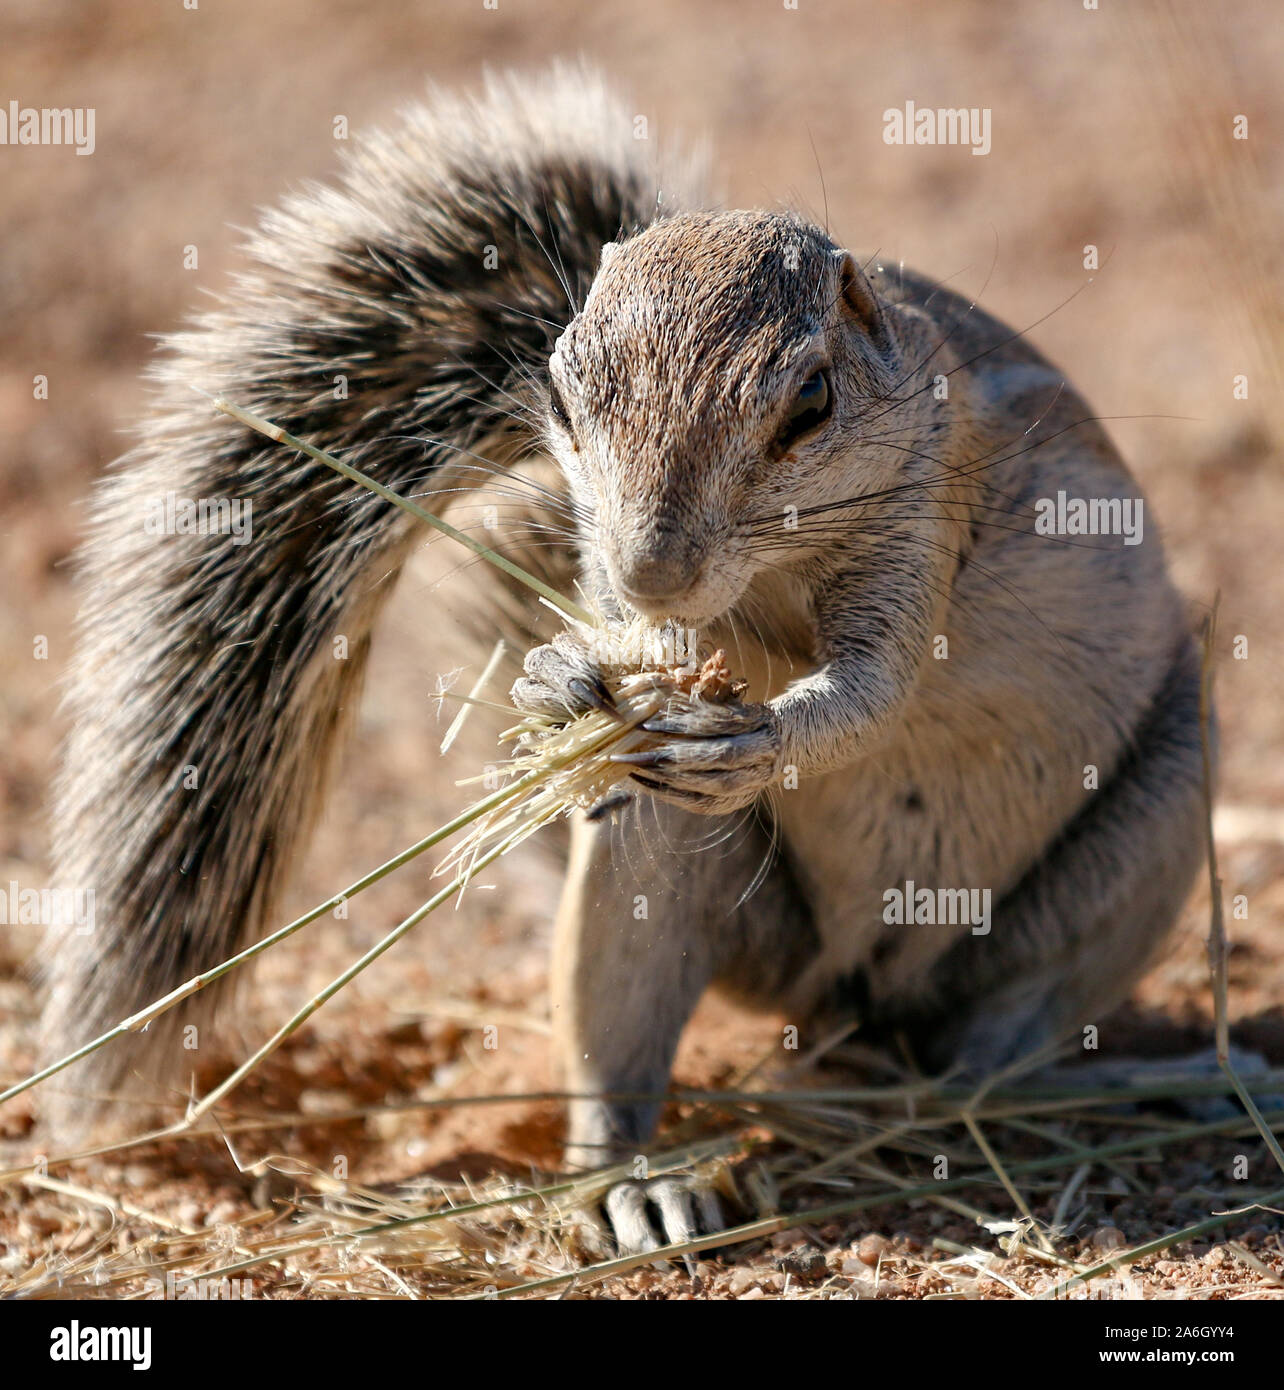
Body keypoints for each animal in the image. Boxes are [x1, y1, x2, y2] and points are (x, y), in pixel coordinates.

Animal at [42, 70, 1206, 1256]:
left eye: (812, 404)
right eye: (557, 394)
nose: (656, 571)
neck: (769, 579)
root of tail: (851, 992)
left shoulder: (926, 518)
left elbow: (874, 688)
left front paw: (760, 738)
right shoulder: (613, 571)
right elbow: (616, 637)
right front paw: (559, 679)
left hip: (1143, 843)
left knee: (1006, 1036)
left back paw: (1117, 1080)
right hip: (689, 886)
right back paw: (638, 1183)